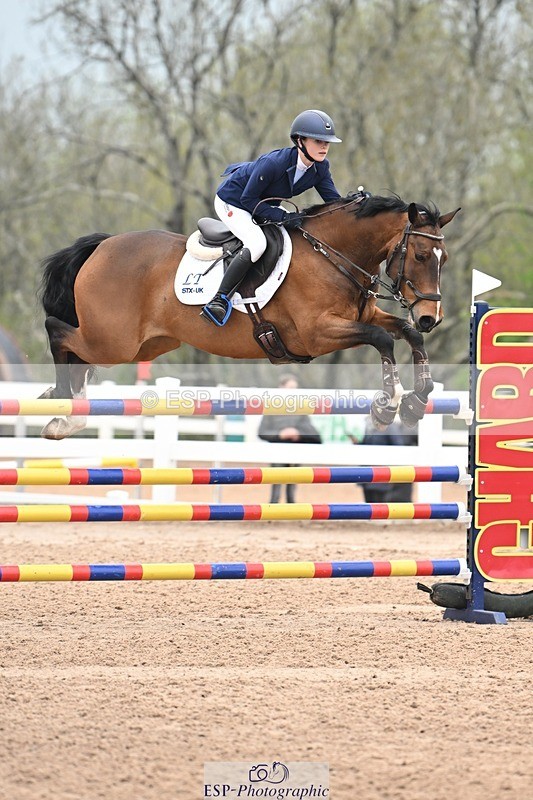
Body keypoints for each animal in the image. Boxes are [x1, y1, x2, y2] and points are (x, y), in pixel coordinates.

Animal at [39, 194, 460, 439]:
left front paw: (415, 403)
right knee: (58, 331)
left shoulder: (366, 314)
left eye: (445, 259)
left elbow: (405, 334)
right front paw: (387, 406)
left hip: (148, 345)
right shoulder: (317, 333)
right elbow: (382, 339)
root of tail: (102, 246)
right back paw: (62, 407)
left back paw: (63, 405)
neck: (332, 254)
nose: (431, 317)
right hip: (115, 342)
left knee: (76, 352)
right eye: (421, 255)